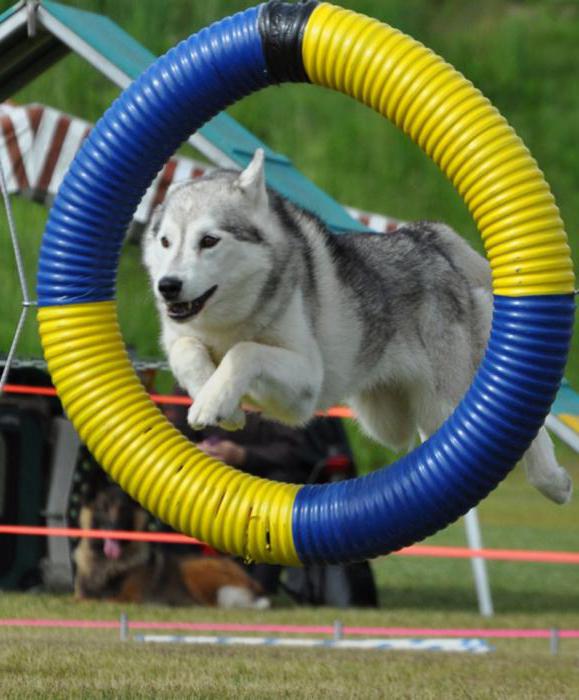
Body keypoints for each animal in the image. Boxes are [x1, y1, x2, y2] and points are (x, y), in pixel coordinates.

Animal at [73, 486, 270, 608]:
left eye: (123, 510)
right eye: (102, 508)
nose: (114, 528)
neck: (105, 561)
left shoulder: (128, 597)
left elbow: (97, 601)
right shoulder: (82, 593)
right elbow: (80, 598)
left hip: (193, 570)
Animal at [144, 150, 572, 506]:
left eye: (209, 240)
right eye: (165, 242)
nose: (167, 286)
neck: (227, 321)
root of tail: (422, 234)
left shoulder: (303, 386)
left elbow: (243, 352)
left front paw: (214, 400)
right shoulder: (188, 340)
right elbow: (187, 352)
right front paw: (218, 403)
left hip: (444, 400)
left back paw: (552, 481)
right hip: (387, 419)